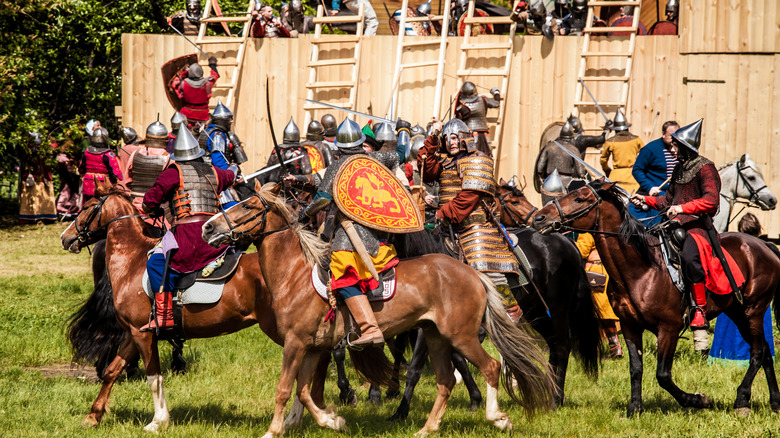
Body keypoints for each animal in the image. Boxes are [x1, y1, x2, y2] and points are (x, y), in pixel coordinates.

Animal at [201, 182, 556, 438]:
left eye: (248, 205)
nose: (207, 228)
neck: (295, 274)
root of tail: (473, 274)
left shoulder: (295, 344)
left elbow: (286, 389)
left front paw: (273, 431)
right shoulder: (312, 347)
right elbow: (304, 392)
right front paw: (332, 421)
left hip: (461, 335)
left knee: (491, 367)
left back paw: (497, 418)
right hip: (435, 337)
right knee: (444, 381)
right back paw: (426, 429)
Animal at [532, 179, 780, 418]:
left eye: (579, 198)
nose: (538, 218)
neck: (642, 269)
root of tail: (764, 244)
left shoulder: (668, 328)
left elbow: (663, 375)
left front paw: (699, 400)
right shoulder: (630, 326)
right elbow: (636, 369)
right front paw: (634, 408)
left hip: (753, 310)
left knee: (758, 353)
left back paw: (742, 400)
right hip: (737, 313)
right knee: (765, 351)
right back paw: (775, 402)